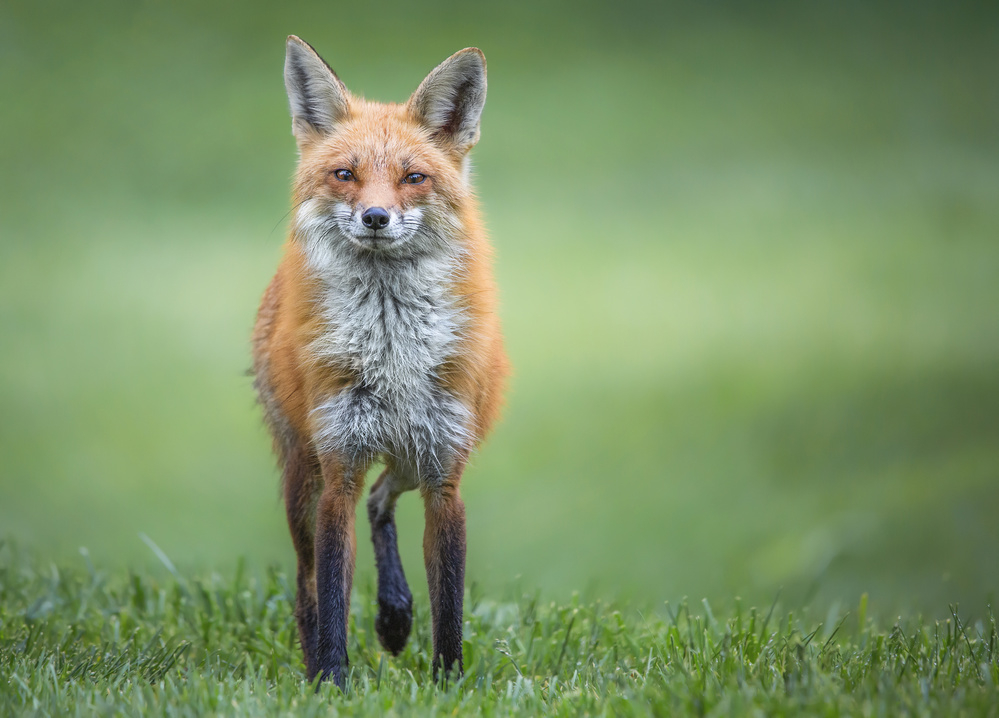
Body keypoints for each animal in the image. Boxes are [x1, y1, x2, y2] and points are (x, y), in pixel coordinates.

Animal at [252, 35, 508, 692]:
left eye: (413, 178)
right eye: (345, 174)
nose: (375, 217)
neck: (392, 350)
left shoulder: (444, 475)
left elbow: (450, 602)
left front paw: (448, 683)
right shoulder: (337, 469)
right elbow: (331, 595)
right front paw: (332, 682)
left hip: (412, 453)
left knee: (382, 499)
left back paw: (394, 616)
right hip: (303, 475)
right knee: (307, 582)